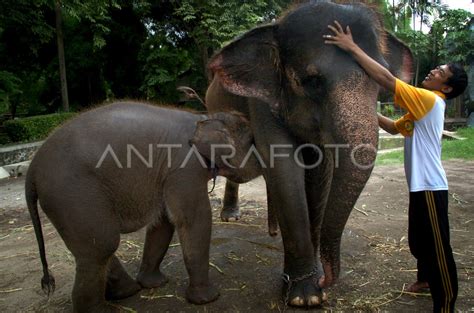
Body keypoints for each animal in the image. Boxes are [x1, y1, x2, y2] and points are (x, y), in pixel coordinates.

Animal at [26, 101, 260, 310]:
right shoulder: (184, 168)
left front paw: (154, 284)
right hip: (73, 194)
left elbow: (163, 222)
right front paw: (208, 299)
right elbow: (193, 219)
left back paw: (129, 290)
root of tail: (32, 171)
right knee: (103, 244)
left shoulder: (166, 174)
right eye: (252, 140)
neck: (204, 117)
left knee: (97, 248)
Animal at [206, 0, 412, 308]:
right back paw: (231, 218)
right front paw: (306, 297)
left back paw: (272, 231)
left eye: (379, 80)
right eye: (311, 81)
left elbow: (318, 175)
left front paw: (314, 288)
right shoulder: (261, 103)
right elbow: (284, 168)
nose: (327, 278)